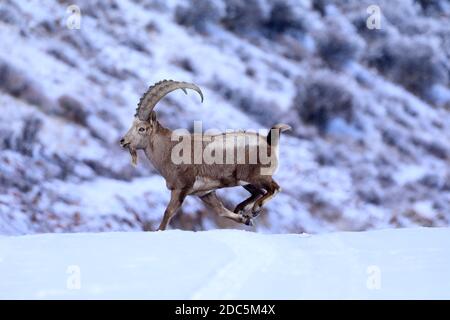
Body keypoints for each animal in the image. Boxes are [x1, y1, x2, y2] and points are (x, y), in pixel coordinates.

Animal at [119, 79, 290, 230]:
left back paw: (255, 209)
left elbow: (168, 213)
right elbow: (221, 211)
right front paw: (244, 220)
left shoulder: (181, 188)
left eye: (141, 129)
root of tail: (269, 141)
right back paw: (243, 210)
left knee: (274, 188)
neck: (169, 149)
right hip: (246, 181)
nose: (123, 141)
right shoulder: (205, 193)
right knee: (259, 192)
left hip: (258, 176)